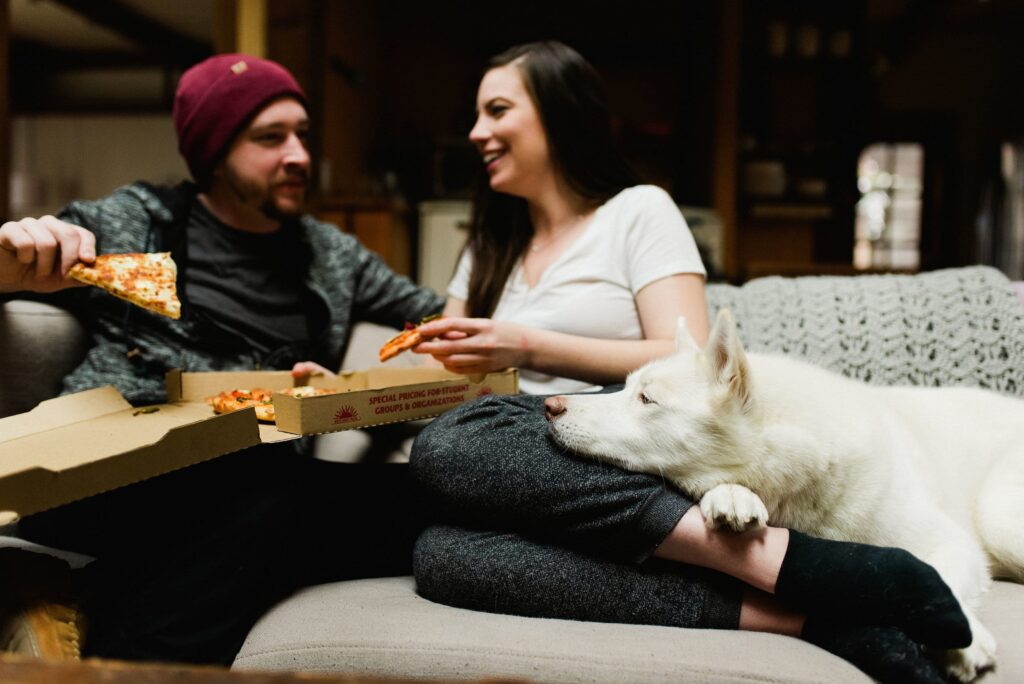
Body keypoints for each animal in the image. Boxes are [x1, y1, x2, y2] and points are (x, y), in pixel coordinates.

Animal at [548, 311, 1019, 684]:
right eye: (625, 388)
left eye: (647, 399)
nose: (550, 406)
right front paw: (732, 497)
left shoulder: (952, 543)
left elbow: (942, 579)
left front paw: (963, 639)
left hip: (997, 519)